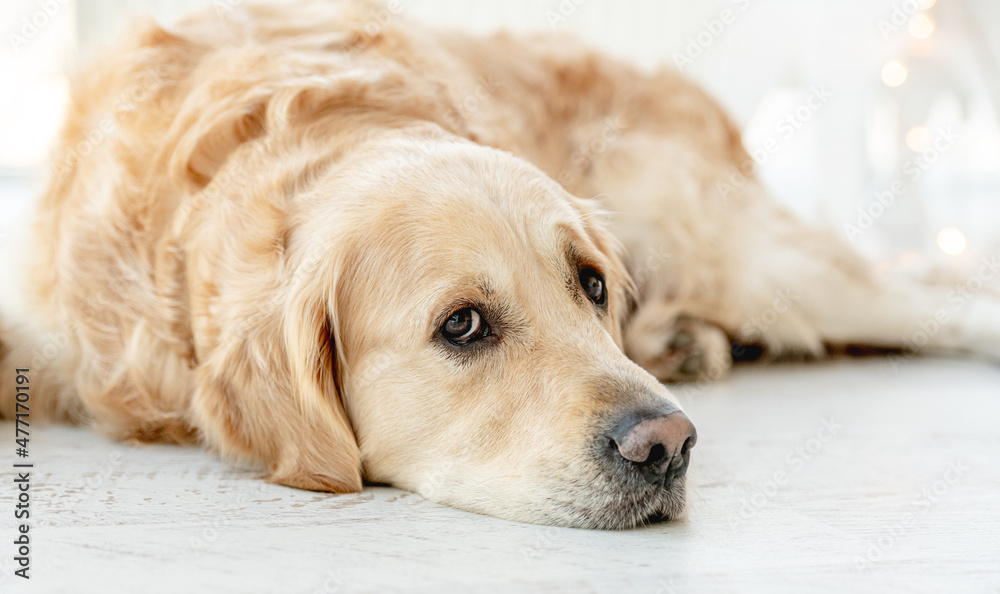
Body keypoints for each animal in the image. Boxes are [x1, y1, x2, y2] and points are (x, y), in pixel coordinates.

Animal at [1, 0, 1000, 528]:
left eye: (589, 285)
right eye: (464, 325)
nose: (669, 445)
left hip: (747, 257)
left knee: (932, 297)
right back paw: (687, 342)